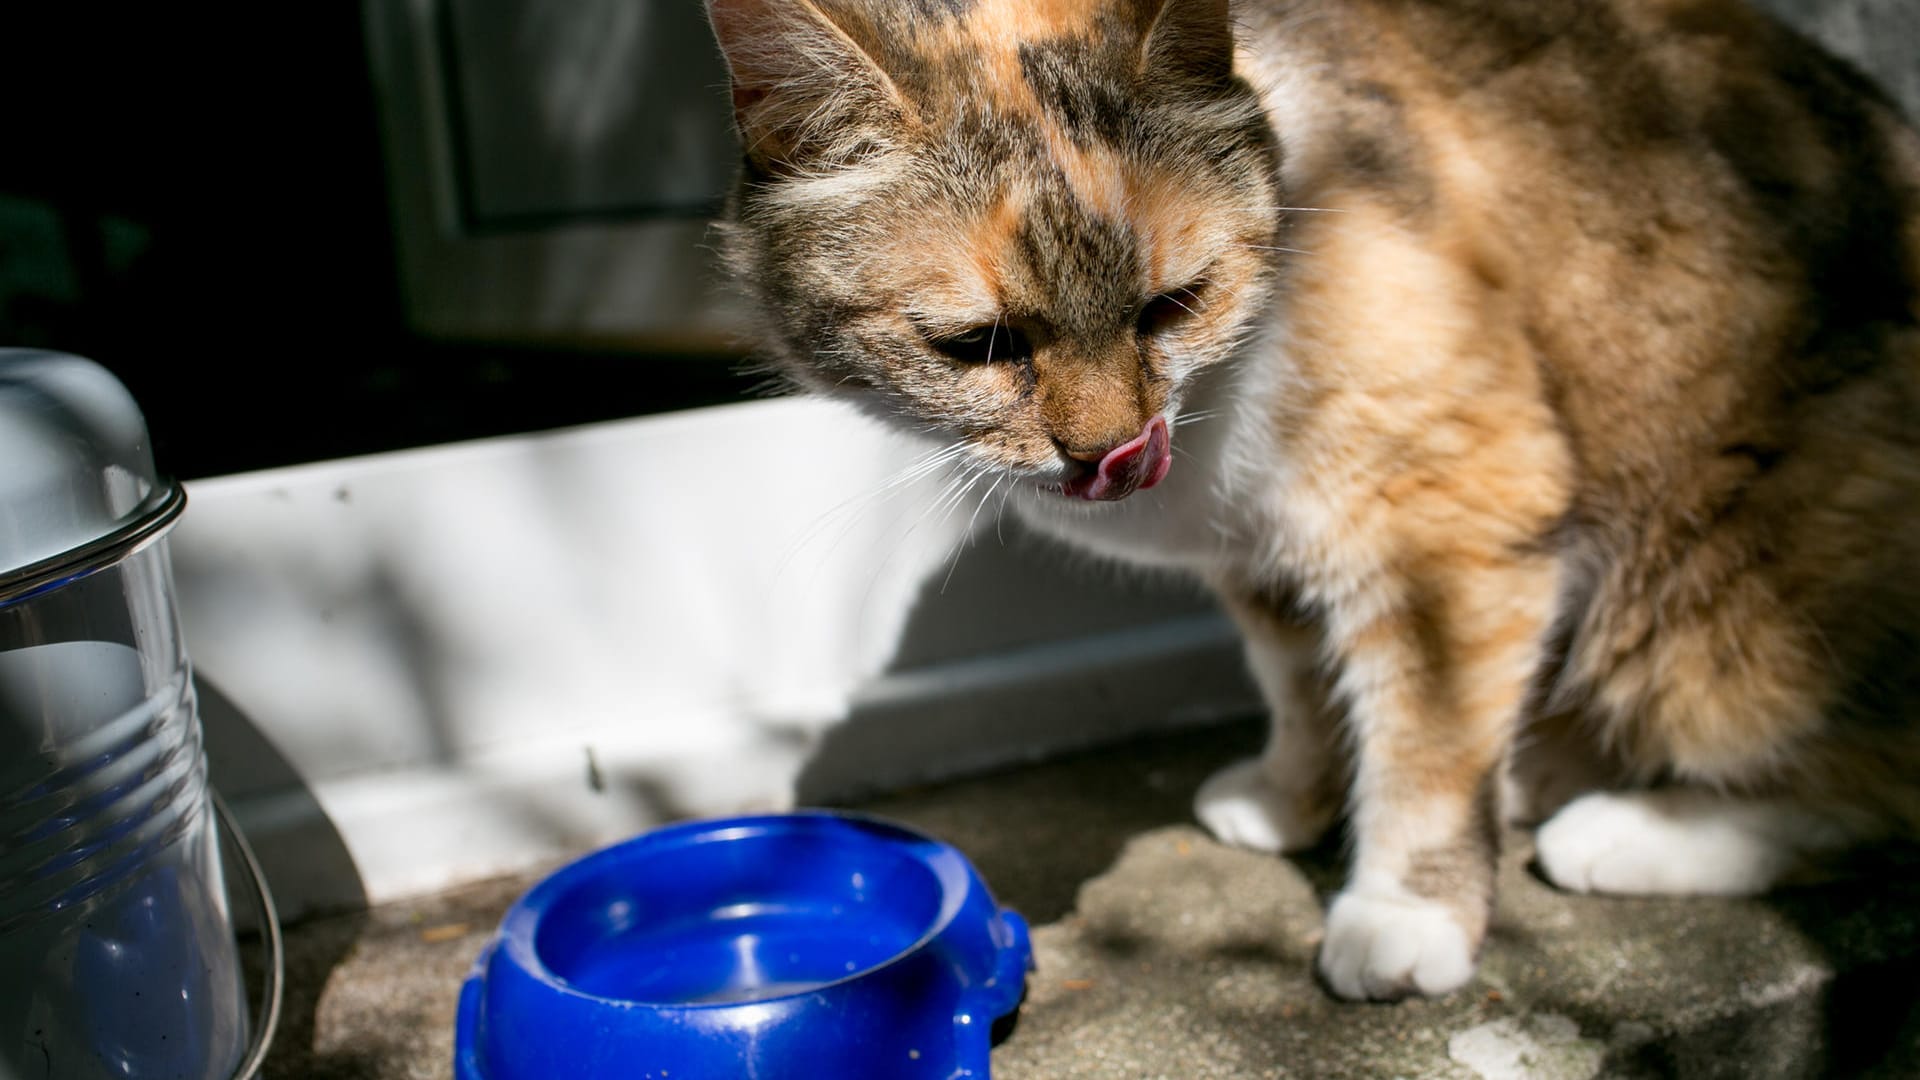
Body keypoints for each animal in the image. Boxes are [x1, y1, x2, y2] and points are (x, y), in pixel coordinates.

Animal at [702, 0, 1920, 999]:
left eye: (1170, 304)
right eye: (977, 345)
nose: (1112, 454)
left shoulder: (1451, 517)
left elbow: (1425, 740)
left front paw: (1406, 911)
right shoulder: (1263, 554)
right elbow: (1296, 678)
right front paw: (1296, 796)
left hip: (1720, 616)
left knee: (1871, 788)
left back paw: (1622, 829)